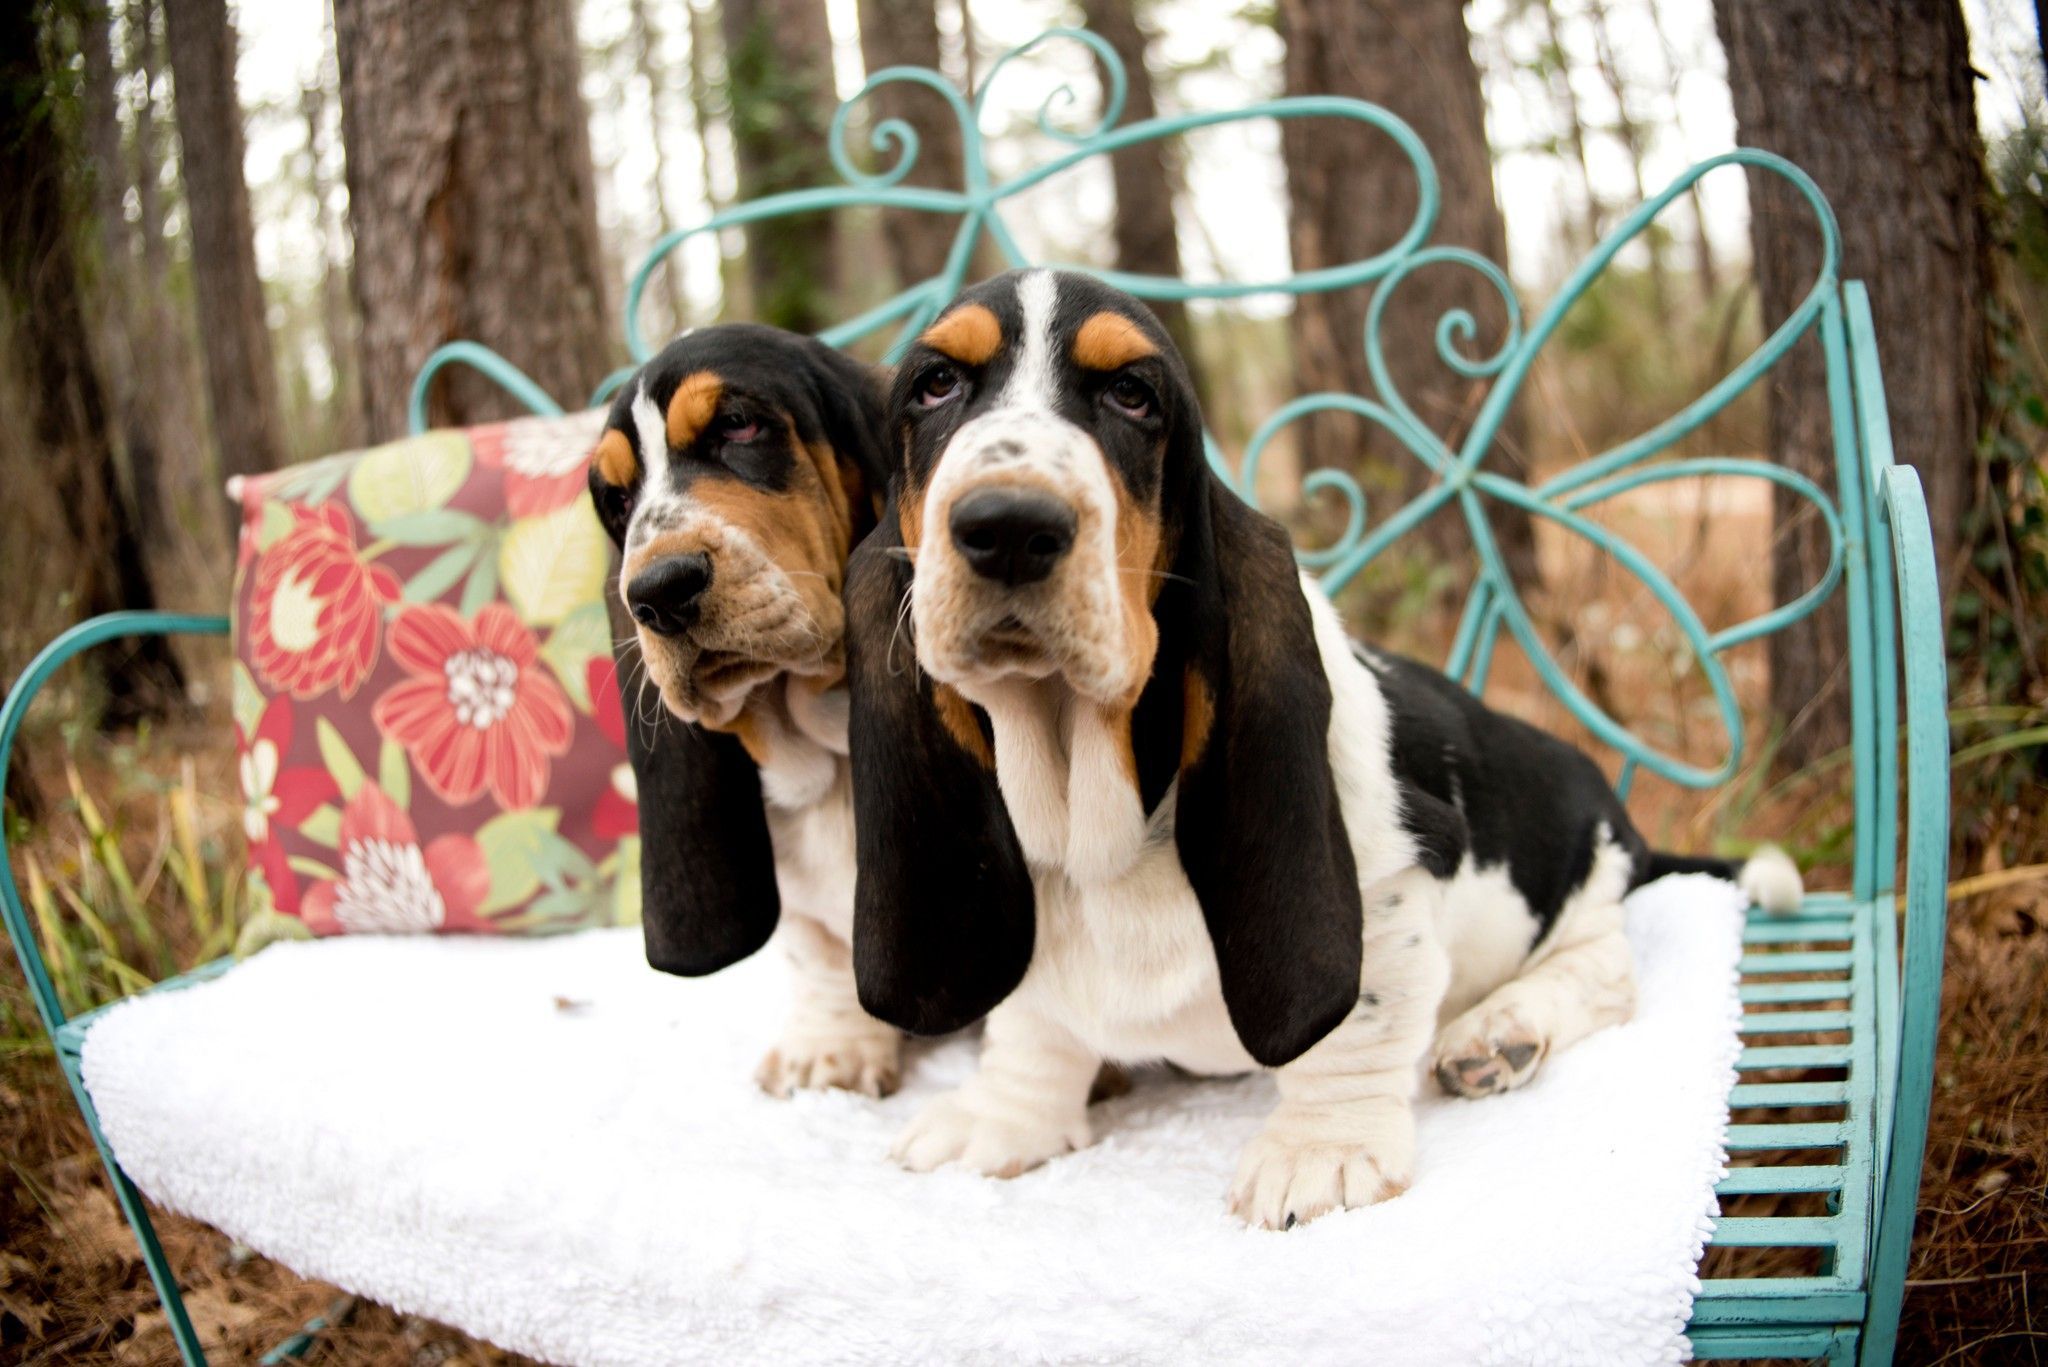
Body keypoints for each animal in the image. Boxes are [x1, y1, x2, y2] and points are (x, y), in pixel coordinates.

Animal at [839, 272, 1802, 1237]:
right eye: (934, 385)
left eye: (1133, 395)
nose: (1008, 524)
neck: (1097, 827)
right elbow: (1034, 1021)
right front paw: (1005, 1116)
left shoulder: (1396, 871)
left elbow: (1355, 1022)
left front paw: (1321, 1148)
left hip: (1581, 874)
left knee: (1604, 969)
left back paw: (1499, 1032)